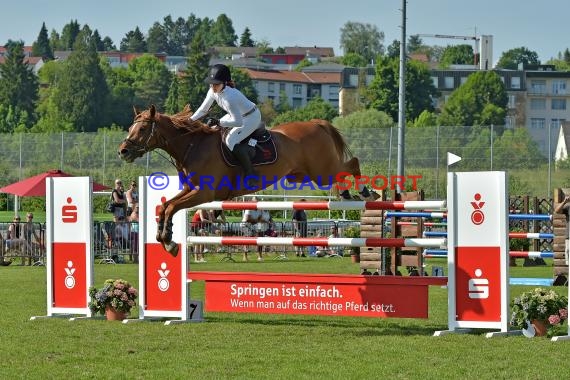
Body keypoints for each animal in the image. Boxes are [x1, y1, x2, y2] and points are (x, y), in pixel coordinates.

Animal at [117, 105, 374, 256]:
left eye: (142, 129)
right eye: (130, 127)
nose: (123, 151)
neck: (193, 146)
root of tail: (316, 123)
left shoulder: (203, 193)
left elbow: (171, 207)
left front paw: (167, 241)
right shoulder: (191, 190)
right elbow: (167, 206)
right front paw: (165, 238)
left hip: (321, 171)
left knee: (352, 164)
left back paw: (363, 192)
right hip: (303, 173)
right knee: (343, 171)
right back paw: (348, 193)